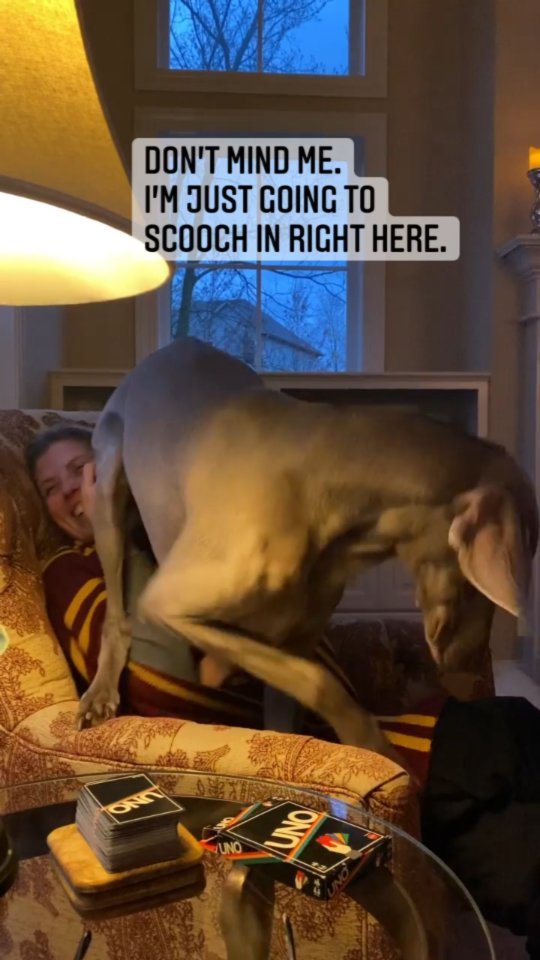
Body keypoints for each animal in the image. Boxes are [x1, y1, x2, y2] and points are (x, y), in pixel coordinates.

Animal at [77, 337, 538, 760]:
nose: (474, 663)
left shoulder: (296, 638)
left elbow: (284, 700)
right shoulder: (166, 600)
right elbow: (318, 679)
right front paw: (371, 743)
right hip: (108, 487)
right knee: (116, 613)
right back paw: (101, 693)